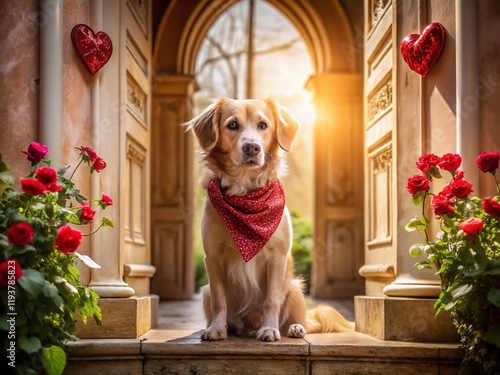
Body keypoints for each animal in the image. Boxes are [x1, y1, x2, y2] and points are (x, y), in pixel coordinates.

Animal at [185, 97, 356, 344]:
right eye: (232, 125)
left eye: (263, 125)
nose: (252, 147)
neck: (246, 196)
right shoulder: (213, 257)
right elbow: (220, 299)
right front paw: (217, 328)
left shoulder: (277, 257)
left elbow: (271, 299)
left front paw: (269, 329)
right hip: (205, 291)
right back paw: (232, 327)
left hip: (295, 288)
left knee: (300, 320)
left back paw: (294, 328)